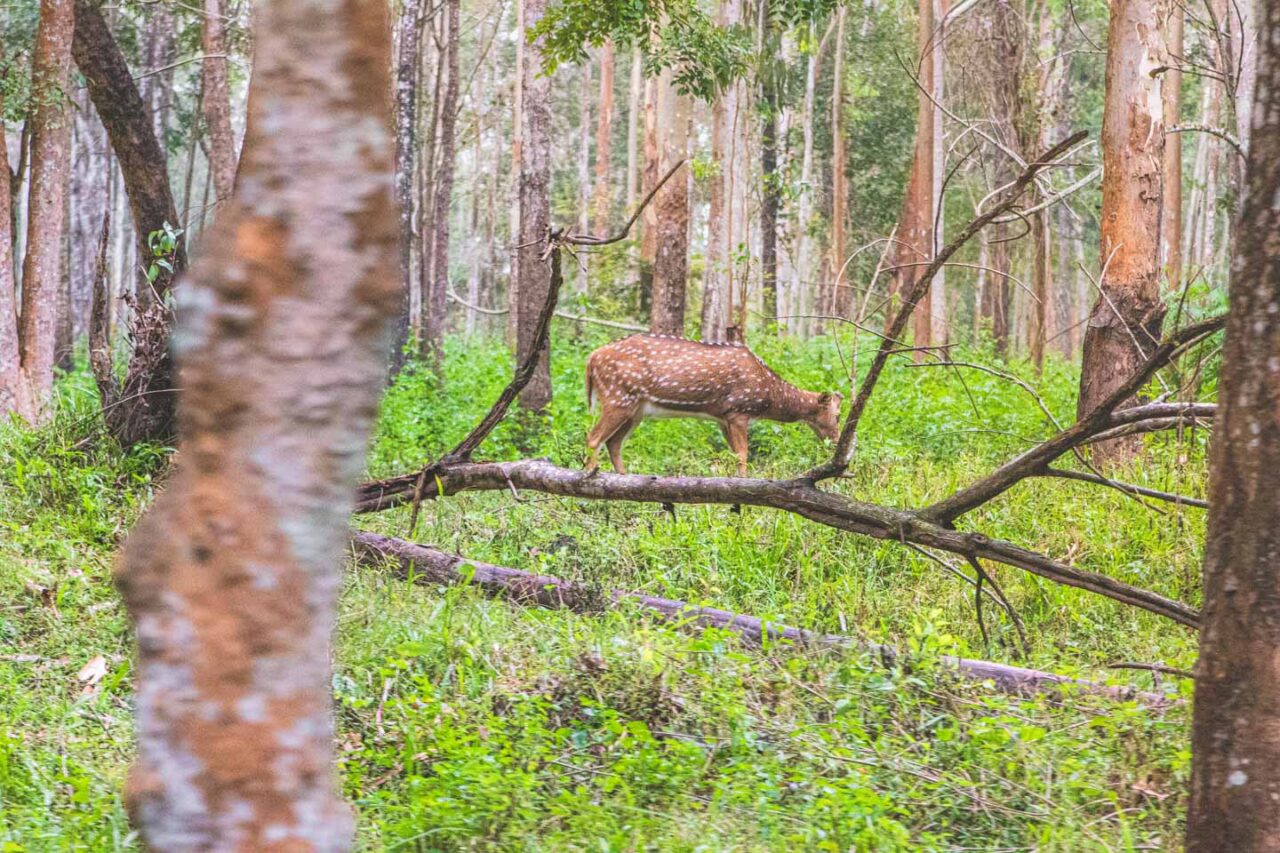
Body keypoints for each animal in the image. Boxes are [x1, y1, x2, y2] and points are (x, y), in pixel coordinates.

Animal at [584, 334, 843, 477]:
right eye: (838, 415)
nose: (836, 440)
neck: (768, 395)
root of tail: (591, 358)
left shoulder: (722, 417)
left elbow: (734, 453)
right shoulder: (738, 410)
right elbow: (743, 455)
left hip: (636, 410)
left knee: (613, 442)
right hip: (618, 396)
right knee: (594, 437)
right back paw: (590, 476)